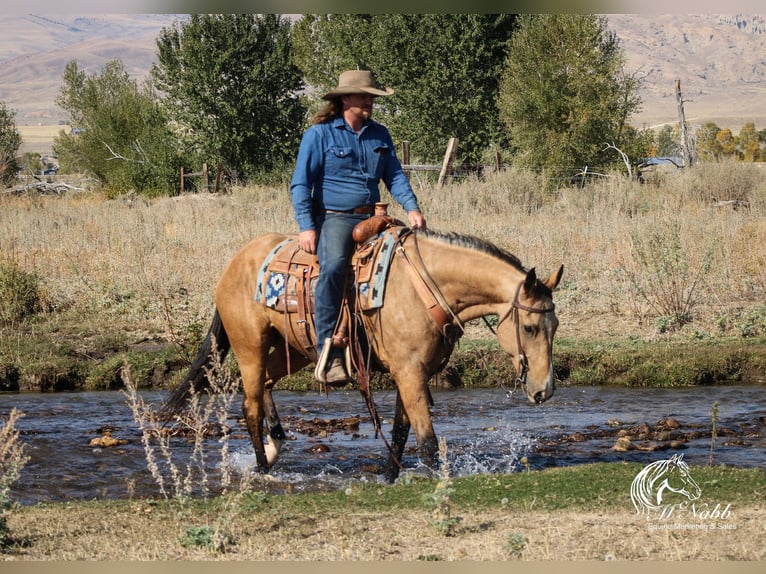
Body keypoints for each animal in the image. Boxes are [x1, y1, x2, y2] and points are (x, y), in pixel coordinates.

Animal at [162, 227, 564, 484]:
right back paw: (262, 465)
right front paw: (438, 479)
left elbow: (401, 430)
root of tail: (235, 262)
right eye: (530, 328)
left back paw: (275, 445)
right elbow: (426, 439)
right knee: (249, 405)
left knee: (266, 384)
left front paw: (389, 476)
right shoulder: (409, 372)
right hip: (251, 347)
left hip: (293, 349)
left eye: (555, 326)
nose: (544, 390)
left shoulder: (413, 372)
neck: (425, 288)